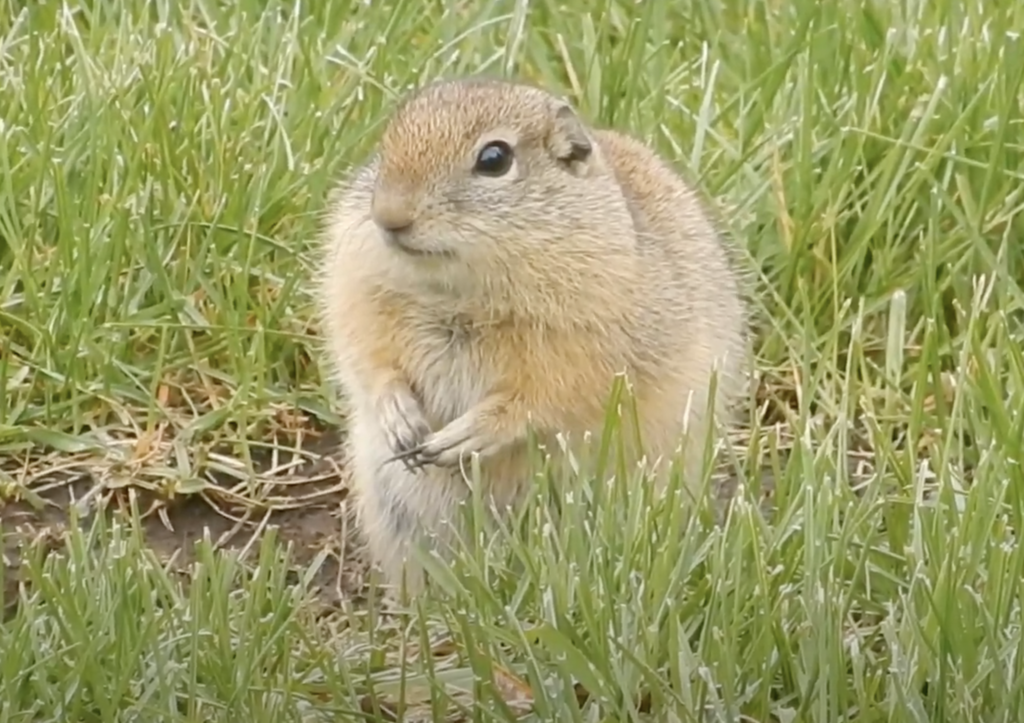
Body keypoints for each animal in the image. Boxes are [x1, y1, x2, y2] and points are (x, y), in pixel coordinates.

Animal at [315, 75, 749, 589]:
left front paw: (470, 434)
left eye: (494, 159)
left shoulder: (589, 345)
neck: (457, 291)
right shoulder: (356, 288)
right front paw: (398, 415)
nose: (389, 216)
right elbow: (366, 356)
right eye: (386, 144)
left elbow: (546, 398)